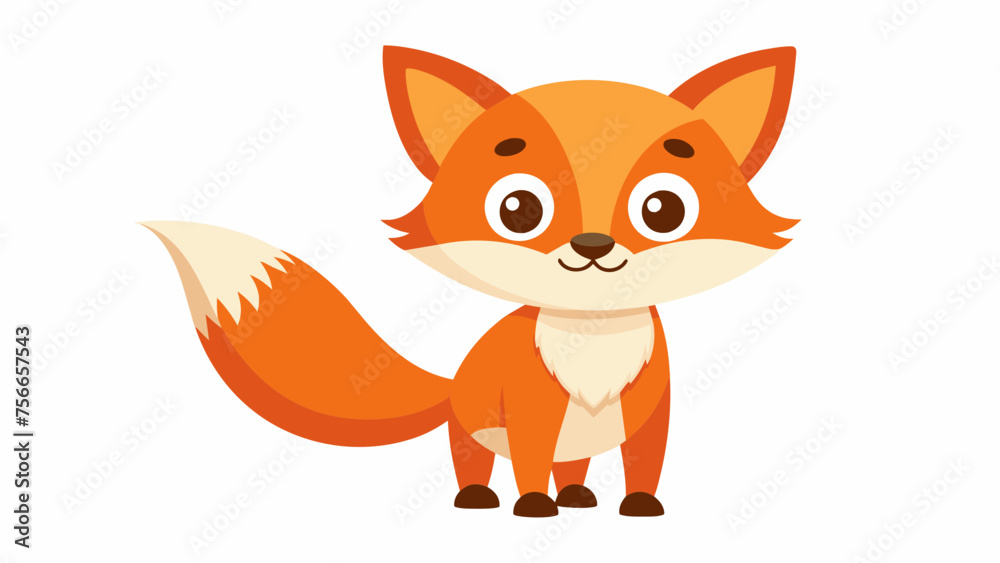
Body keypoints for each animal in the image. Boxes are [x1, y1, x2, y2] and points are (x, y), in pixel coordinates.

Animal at [144, 45, 797, 517]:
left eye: (662, 210)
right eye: (519, 210)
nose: (592, 246)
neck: (591, 342)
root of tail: (455, 376)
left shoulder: (646, 416)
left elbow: (644, 464)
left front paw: (638, 507)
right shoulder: (531, 413)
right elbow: (530, 466)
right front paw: (533, 508)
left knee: (573, 469)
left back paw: (578, 497)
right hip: (473, 428)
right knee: (474, 464)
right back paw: (483, 499)